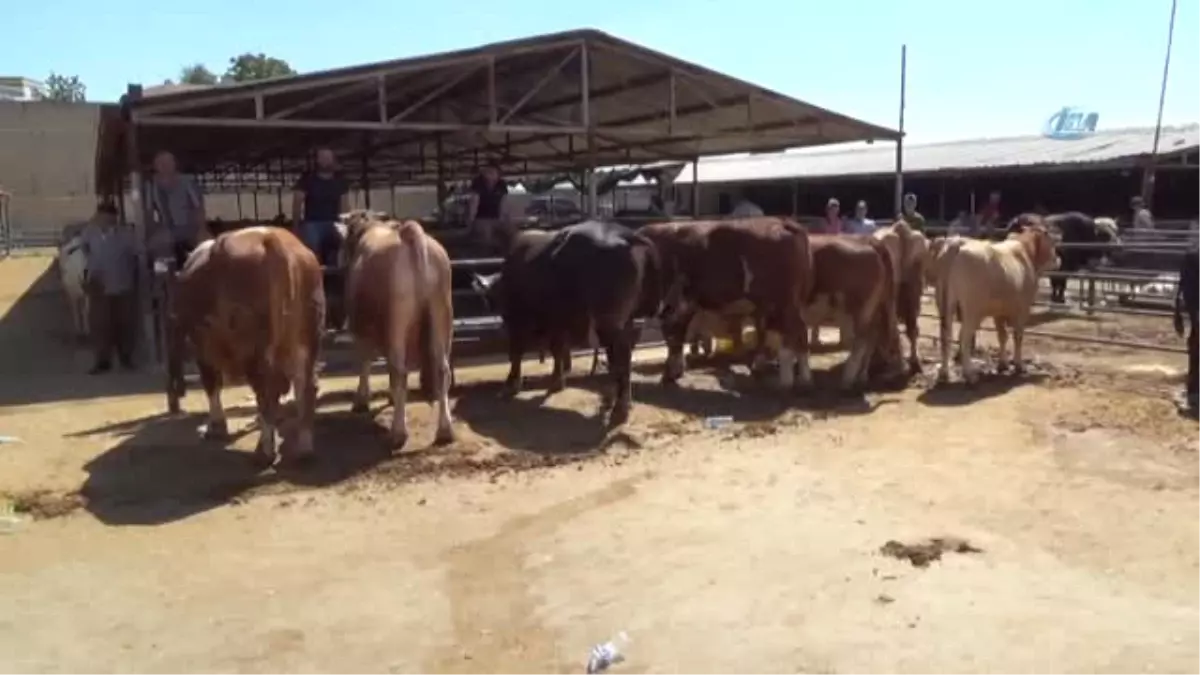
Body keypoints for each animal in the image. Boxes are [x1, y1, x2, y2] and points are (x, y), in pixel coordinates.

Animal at [164, 223, 326, 466]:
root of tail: (273, 240)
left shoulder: (203, 347)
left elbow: (211, 384)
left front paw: (215, 427)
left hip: (253, 349)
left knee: (267, 392)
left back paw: (264, 452)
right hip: (307, 337)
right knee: (305, 386)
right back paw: (304, 449)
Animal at [340, 208, 456, 446]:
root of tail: (411, 235)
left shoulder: (361, 331)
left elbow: (365, 361)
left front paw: (361, 400)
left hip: (397, 325)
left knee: (399, 373)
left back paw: (398, 432)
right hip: (441, 317)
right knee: (442, 371)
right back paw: (445, 430)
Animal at [470, 218, 662, 422]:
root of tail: (626, 235)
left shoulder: (517, 322)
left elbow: (516, 353)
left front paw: (510, 385)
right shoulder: (558, 324)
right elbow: (557, 350)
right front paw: (557, 381)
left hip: (608, 323)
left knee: (621, 358)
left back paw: (619, 408)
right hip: (626, 322)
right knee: (620, 357)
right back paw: (614, 401)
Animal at [643, 218, 820, 389]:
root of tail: (783, 223)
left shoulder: (673, 305)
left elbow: (673, 338)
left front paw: (669, 375)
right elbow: (677, 337)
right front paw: (675, 373)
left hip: (783, 302)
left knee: (797, 331)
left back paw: (792, 380)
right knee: (794, 332)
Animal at [931, 218, 1056, 381]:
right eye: (1051, 240)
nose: (1058, 258)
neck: (1026, 252)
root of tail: (958, 242)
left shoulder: (999, 312)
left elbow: (1002, 336)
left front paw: (1003, 365)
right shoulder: (1023, 309)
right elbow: (1018, 336)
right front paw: (1019, 366)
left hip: (945, 304)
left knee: (945, 334)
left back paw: (944, 372)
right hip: (972, 310)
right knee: (964, 336)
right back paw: (969, 373)